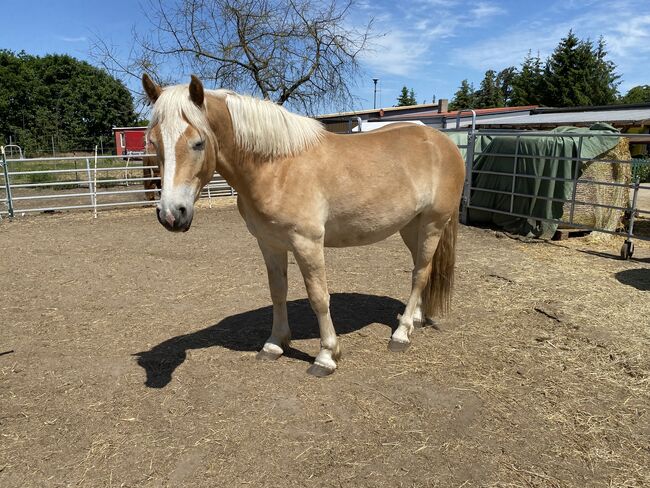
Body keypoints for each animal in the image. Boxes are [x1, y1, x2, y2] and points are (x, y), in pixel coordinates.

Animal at [142, 73, 466, 378]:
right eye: (154, 142)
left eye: (198, 143)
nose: (171, 214)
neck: (277, 166)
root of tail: (443, 143)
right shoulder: (269, 243)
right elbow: (277, 291)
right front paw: (275, 344)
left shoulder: (307, 243)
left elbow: (319, 297)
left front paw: (326, 356)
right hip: (411, 227)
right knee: (422, 269)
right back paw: (413, 320)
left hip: (433, 224)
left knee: (420, 274)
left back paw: (400, 335)